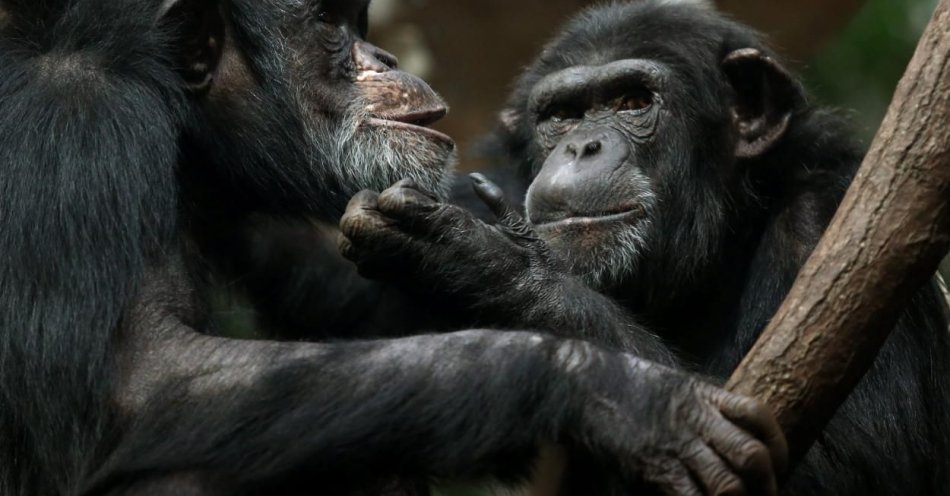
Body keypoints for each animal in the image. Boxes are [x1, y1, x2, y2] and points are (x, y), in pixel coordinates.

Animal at [1, 0, 788, 496]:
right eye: (328, 23)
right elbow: (136, 386)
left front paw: (476, 256)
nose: (379, 55)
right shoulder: (76, 118)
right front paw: (619, 392)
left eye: (357, 19)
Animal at [344, 1, 950, 494]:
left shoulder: (837, 225)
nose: (582, 146)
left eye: (633, 100)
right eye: (562, 115)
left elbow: (843, 463)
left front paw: (495, 265)